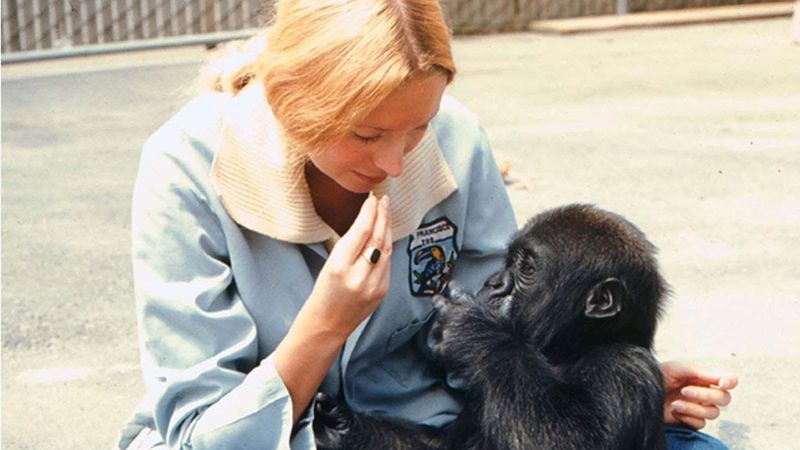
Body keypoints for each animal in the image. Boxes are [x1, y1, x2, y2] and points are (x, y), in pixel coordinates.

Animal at [312, 205, 668, 450]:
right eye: (508, 261)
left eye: (526, 268)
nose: (493, 282)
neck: (570, 351)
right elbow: (443, 445)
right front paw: (341, 424)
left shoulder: (625, 370)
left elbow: (572, 443)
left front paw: (471, 329)